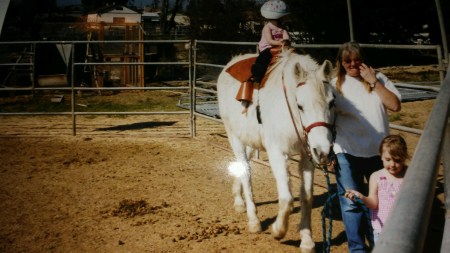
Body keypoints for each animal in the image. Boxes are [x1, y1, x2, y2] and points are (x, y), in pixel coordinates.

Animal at [216, 48, 336, 253]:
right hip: (234, 137)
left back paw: (238, 201)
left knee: (242, 167)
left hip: (250, 141)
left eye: (332, 103)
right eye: (300, 105)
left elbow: (307, 198)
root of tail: (230, 64)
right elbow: (286, 199)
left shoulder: (307, 156)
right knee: (245, 173)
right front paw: (278, 230)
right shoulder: (277, 154)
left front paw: (307, 240)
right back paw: (254, 221)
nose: (324, 151)